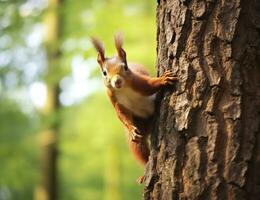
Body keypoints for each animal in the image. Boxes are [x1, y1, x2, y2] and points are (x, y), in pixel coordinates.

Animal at [90, 33, 178, 184]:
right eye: (104, 72)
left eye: (125, 67)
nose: (117, 81)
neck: (123, 89)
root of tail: (148, 130)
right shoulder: (114, 99)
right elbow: (121, 114)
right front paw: (131, 130)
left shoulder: (138, 82)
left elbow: (150, 86)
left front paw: (163, 79)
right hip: (139, 129)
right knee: (141, 150)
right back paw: (144, 173)